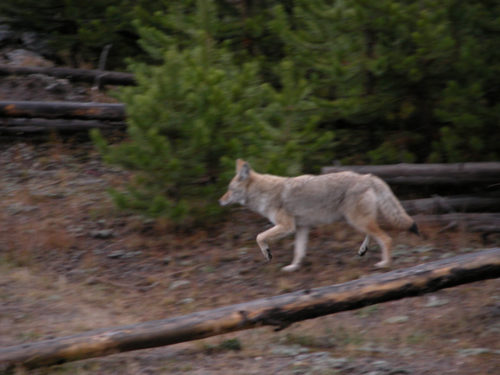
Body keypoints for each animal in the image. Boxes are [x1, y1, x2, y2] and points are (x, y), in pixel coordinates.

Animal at [219, 159, 418, 274]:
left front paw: (268, 254)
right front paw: (293, 267)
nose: (220, 201)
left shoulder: (287, 227)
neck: (264, 194)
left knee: (386, 239)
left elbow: (259, 236)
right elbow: (299, 251)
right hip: (357, 220)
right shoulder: (301, 228)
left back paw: (384, 264)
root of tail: (368, 176)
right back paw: (363, 251)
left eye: (229, 190)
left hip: (357, 220)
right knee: (374, 234)